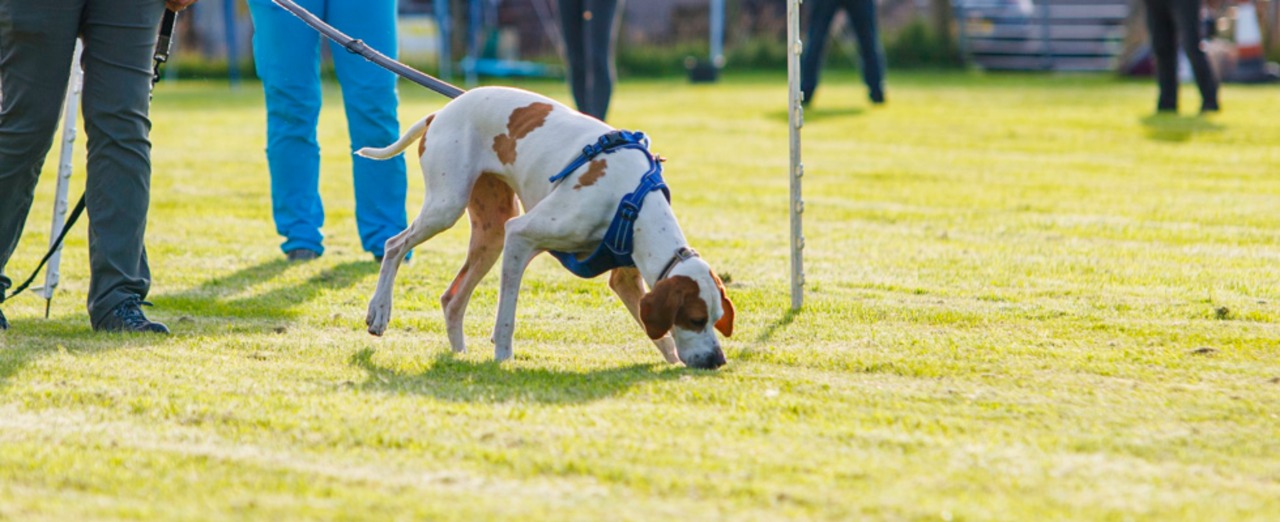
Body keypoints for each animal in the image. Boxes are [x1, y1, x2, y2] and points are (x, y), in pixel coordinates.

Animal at [360, 85, 737, 368]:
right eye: (695, 319)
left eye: (717, 317)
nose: (717, 360)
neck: (632, 200)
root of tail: (442, 111)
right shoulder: (520, 235)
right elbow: (506, 318)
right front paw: (503, 360)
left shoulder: (624, 277)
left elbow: (657, 333)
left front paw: (671, 361)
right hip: (447, 208)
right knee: (394, 245)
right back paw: (379, 311)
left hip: (491, 234)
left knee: (452, 299)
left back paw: (459, 356)